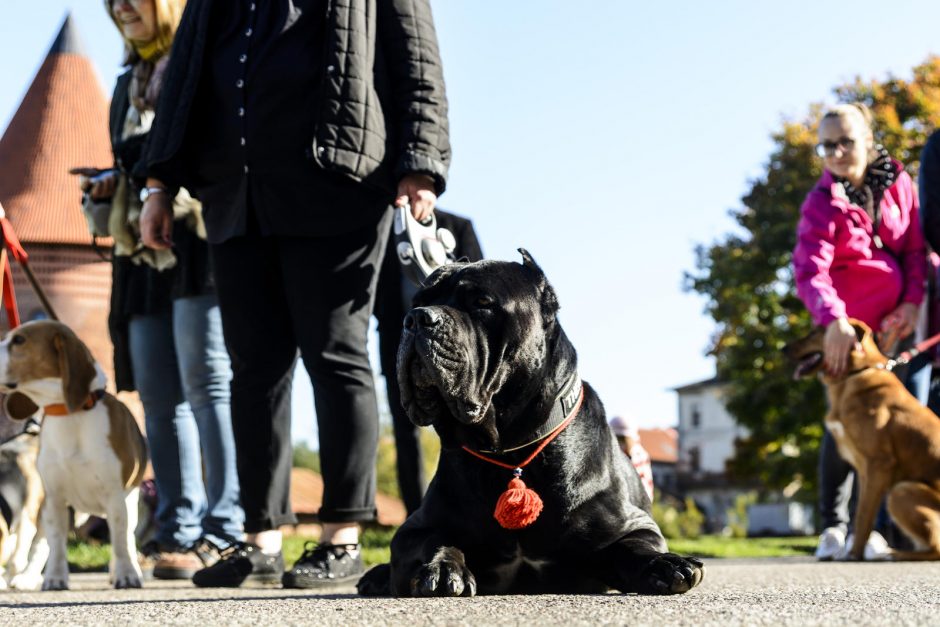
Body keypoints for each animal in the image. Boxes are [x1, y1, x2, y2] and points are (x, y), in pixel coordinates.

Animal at [356, 250, 700, 600]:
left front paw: (665, 564)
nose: (416, 318)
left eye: (481, 302)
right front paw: (441, 567)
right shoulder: (414, 528)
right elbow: (432, 539)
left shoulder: (635, 525)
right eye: (418, 302)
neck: (510, 448)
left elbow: (632, 547)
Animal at [784, 322, 940, 560]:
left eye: (815, 333)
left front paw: (854, 554)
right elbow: (859, 514)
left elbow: (865, 515)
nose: (783, 348)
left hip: (901, 490)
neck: (855, 373)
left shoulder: (879, 464)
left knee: (935, 548)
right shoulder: (865, 470)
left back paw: (893, 553)